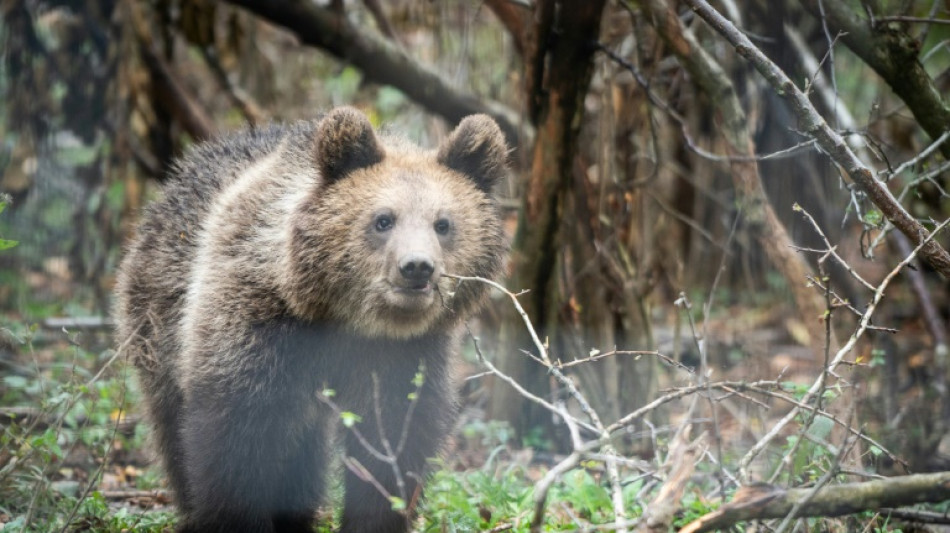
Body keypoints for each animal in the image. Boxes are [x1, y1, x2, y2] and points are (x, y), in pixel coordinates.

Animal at [114, 107, 508, 533]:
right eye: (383, 220)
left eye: (443, 223)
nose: (416, 267)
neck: (344, 318)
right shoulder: (257, 328)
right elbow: (235, 440)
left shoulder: (402, 354)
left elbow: (392, 443)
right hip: (158, 319)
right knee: (174, 425)